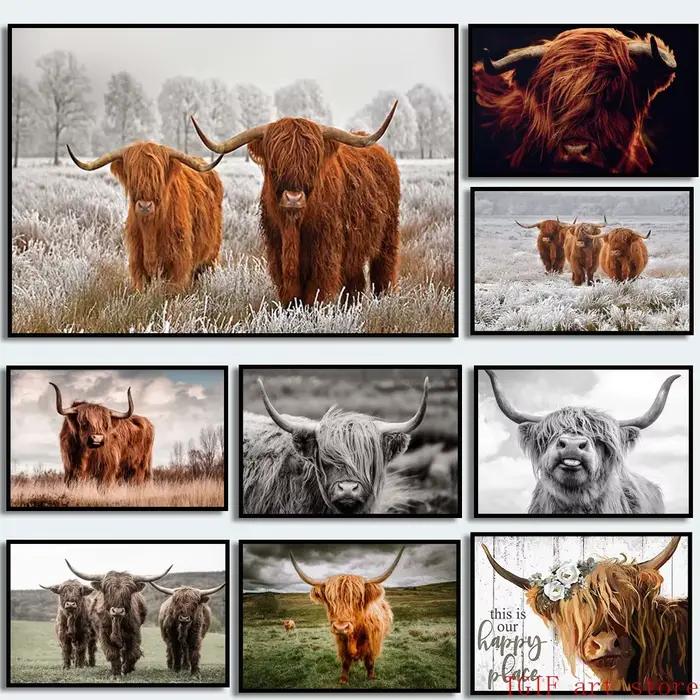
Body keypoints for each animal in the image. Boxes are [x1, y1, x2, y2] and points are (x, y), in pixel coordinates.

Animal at [66, 141, 224, 292]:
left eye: (158, 176)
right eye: (132, 176)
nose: (145, 206)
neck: (150, 230)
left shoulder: (178, 263)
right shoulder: (137, 262)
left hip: (211, 256)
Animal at [190, 103, 400, 305]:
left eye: (312, 164)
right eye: (275, 164)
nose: (293, 198)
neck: (293, 226)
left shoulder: (325, 254)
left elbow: (316, 294)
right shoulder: (277, 252)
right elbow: (290, 295)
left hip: (387, 237)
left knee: (383, 272)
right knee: (355, 282)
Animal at [290, 548, 404, 685]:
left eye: (358, 599)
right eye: (330, 599)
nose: (340, 627)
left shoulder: (373, 643)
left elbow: (370, 662)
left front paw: (371, 678)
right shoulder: (342, 643)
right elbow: (345, 662)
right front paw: (343, 680)